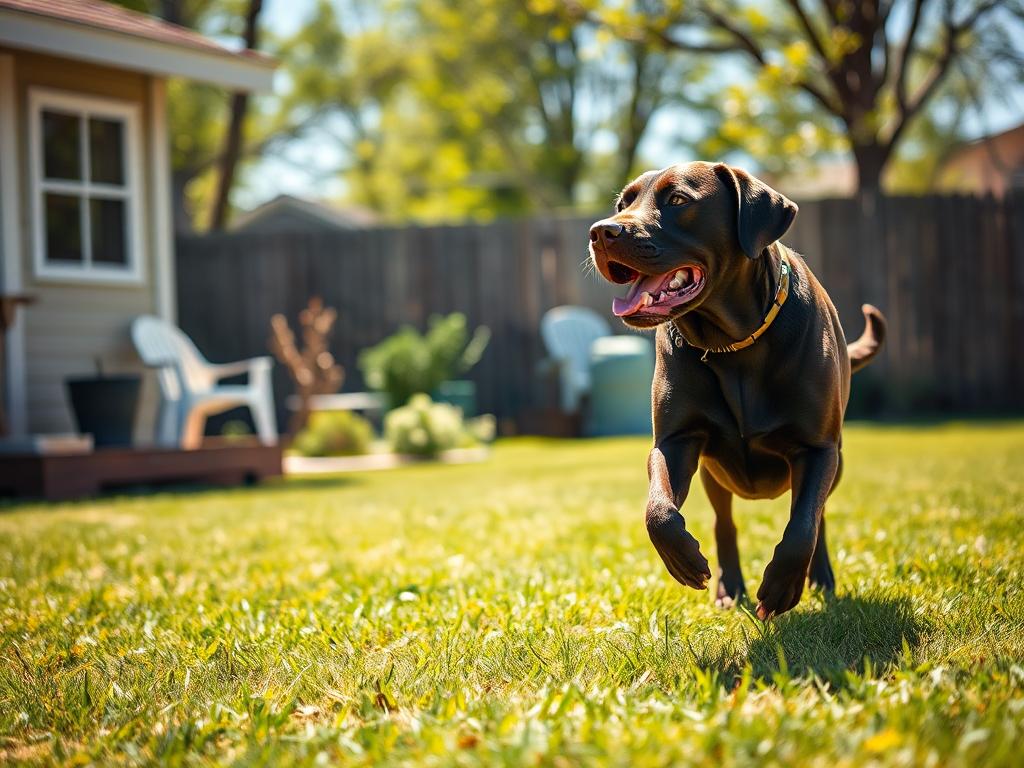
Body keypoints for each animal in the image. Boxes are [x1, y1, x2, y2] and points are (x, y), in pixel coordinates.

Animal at [589, 162, 884, 618]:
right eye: (623, 204)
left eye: (678, 200)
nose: (601, 232)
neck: (733, 343)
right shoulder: (675, 441)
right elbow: (659, 509)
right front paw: (683, 559)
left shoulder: (818, 449)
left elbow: (802, 526)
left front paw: (782, 588)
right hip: (715, 473)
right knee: (723, 521)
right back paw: (730, 586)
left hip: (835, 465)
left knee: (816, 517)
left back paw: (820, 577)